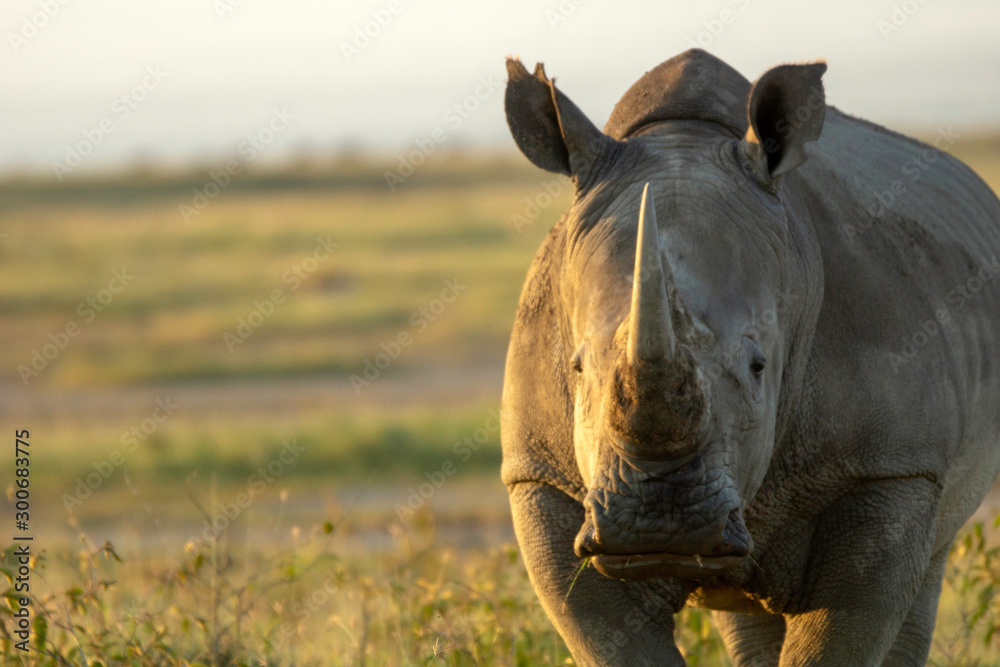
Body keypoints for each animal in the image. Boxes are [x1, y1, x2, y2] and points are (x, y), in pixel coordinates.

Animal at [500, 48, 1000, 666]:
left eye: (760, 368)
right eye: (575, 368)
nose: (660, 525)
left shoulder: (891, 466)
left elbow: (842, 635)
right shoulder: (540, 475)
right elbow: (609, 636)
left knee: (930, 562)